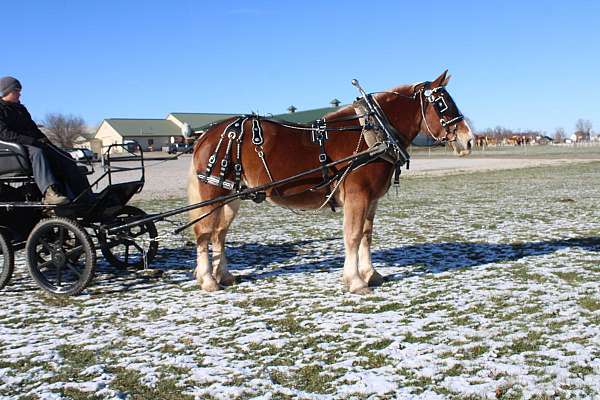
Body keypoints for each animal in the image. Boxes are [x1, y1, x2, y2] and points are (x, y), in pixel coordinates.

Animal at [188, 71, 474, 294]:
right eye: (442, 104)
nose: (469, 140)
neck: (373, 132)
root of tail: (206, 135)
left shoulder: (371, 199)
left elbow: (367, 236)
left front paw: (371, 274)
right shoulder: (357, 196)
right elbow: (353, 236)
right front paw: (356, 281)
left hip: (230, 197)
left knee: (219, 234)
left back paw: (223, 275)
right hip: (212, 192)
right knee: (204, 234)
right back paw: (208, 280)